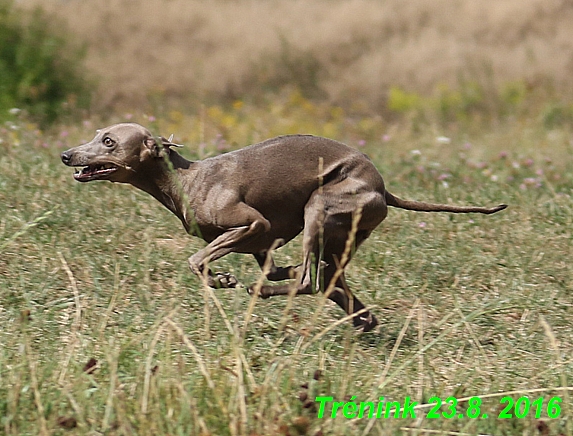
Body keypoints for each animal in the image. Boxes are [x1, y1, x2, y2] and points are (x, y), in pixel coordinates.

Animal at [60, 124, 502, 332]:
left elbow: (197, 260)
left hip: (319, 207)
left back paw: (268, 291)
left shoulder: (254, 223)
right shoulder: (263, 241)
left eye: (109, 141)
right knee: (327, 279)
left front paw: (223, 279)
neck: (185, 180)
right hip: (338, 236)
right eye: (97, 135)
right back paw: (361, 317)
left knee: (309, 280)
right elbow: (271, 266)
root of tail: (382, 187)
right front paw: (232, 276)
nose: (66, 155)